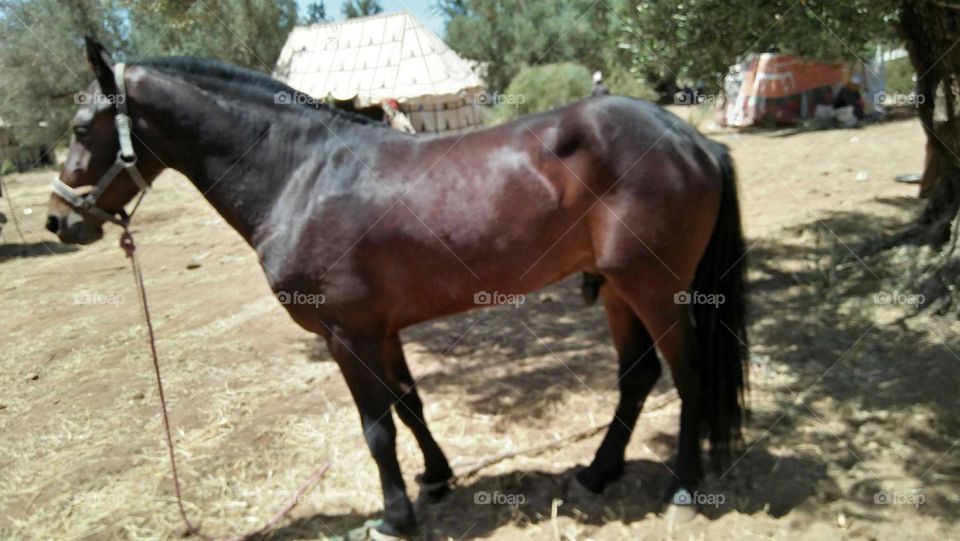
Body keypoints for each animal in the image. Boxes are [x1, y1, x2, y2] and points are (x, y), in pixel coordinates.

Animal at [47, 37, 752, 536]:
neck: (300, 175)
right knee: (637, 376)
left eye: (82, 130)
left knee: (688, 374)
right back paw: (598, 473)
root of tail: (691, 139)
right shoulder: (380, 331)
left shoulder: (346, 336)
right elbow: (410, 406)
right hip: (614, 289)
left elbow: (376, 428)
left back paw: (684, 489)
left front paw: (394, 517)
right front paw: (436, 478)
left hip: (654, 288)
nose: (57, 220)